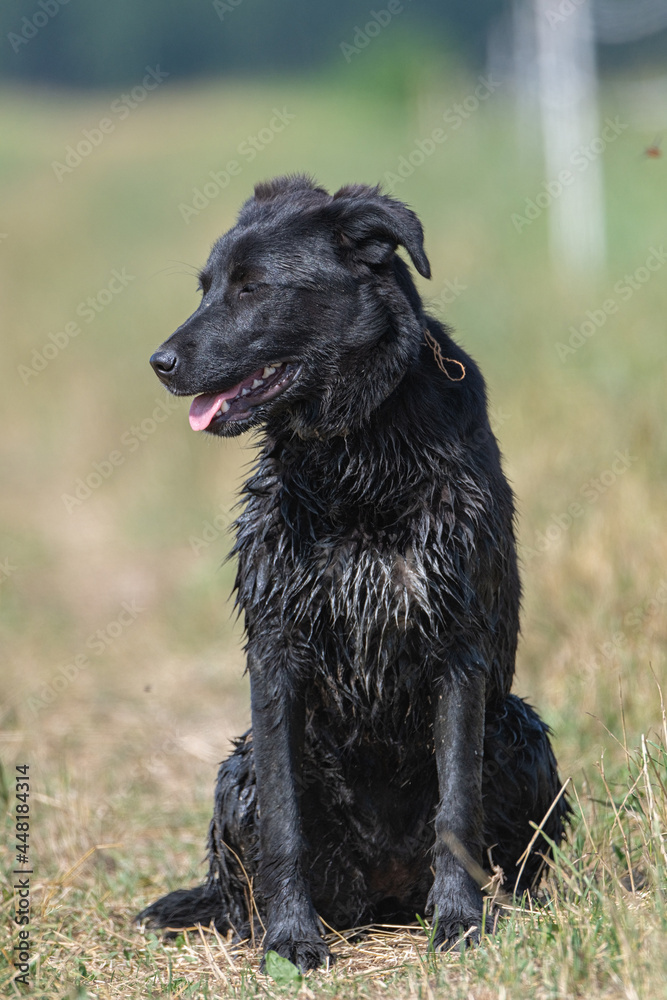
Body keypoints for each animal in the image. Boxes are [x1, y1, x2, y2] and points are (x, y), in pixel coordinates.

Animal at [138, 174, 568, 968]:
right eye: (206, 287)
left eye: (251, 287)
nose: (159, 362)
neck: (354, 455)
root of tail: (388, 894)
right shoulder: (276, 651)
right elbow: (284, 825)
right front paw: (290, 939)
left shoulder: (458, 649)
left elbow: (457, 806)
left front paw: (459, 922)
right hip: (238, 768)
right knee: (243, 880)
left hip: (519, 728)